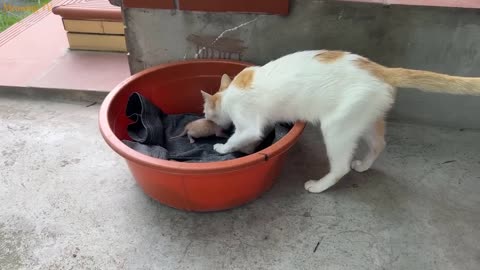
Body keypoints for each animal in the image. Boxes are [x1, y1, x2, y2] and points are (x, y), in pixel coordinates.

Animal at [200, 50, 480, 193]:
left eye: (205, 113)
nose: (205, 118)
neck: (228, 94)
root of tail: (380, 69)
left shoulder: (248, 126)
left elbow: (239, 138)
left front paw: (221, 147)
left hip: (336, 128)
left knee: (341, 167)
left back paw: (319, 185)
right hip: (366, 119)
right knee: (379, 144)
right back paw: (364, 165)